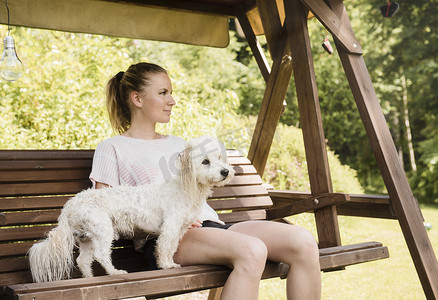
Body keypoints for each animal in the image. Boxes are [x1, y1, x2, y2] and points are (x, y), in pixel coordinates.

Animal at [27, 137, 234, 282]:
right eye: (205, 161)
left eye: (220, 158)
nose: (225, 171)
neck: (185, 188)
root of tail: (71, 204)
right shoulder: (170, 228)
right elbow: (164, 248)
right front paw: (165, 265)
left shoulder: (179, 230)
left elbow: (171, 248)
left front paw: (169, 262)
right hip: (103, 230)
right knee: (101, 255)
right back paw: (114, 272)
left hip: (88, 238)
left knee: (83, 261)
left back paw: (90, 278)